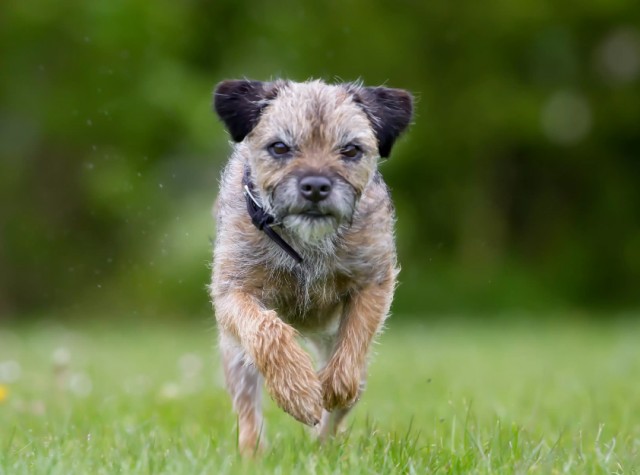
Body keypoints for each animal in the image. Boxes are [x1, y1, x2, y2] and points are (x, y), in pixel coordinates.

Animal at [208, 78, 412, 454]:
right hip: (236, 359)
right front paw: (298, 391)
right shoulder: (232, 289)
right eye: (279, 147)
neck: (306, 242)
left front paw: (331, 387)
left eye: (350, 150)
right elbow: (266, 328)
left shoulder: (374, 280)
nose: (316, 185)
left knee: (342, 406)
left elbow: (356, 338)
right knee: (248, 411)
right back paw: (253, 455)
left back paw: (324, 448)